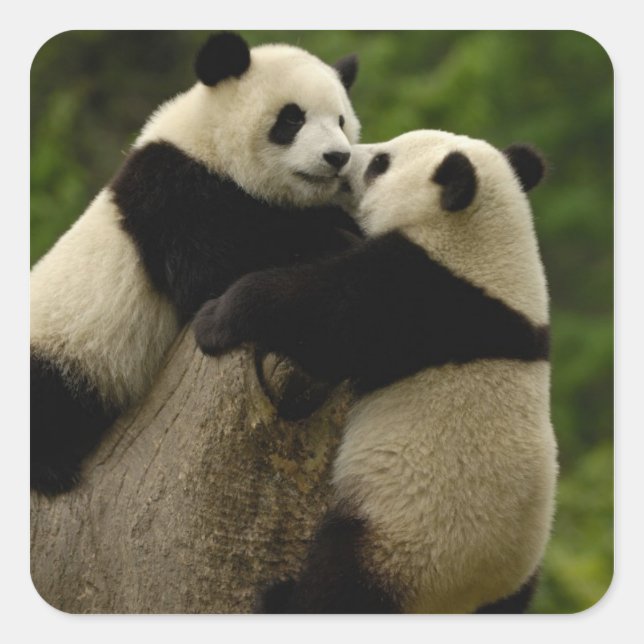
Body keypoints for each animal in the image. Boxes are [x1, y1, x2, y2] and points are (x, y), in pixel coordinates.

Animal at [30, 32, 361, 495]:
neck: (207, 143)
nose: (337, 157)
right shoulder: (173, 193)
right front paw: (332, 235)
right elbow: (216, 269)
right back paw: (51, 467)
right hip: (64, 349)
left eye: (341, 120)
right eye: (292, 119)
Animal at [192, 129, 558, 613]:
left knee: (338, 585)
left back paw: (280, 599)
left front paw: (215, 319)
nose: (342, 157)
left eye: (381, 163)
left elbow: (321, 317)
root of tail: (463, 600)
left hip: (397, 541)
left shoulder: (421, 296)